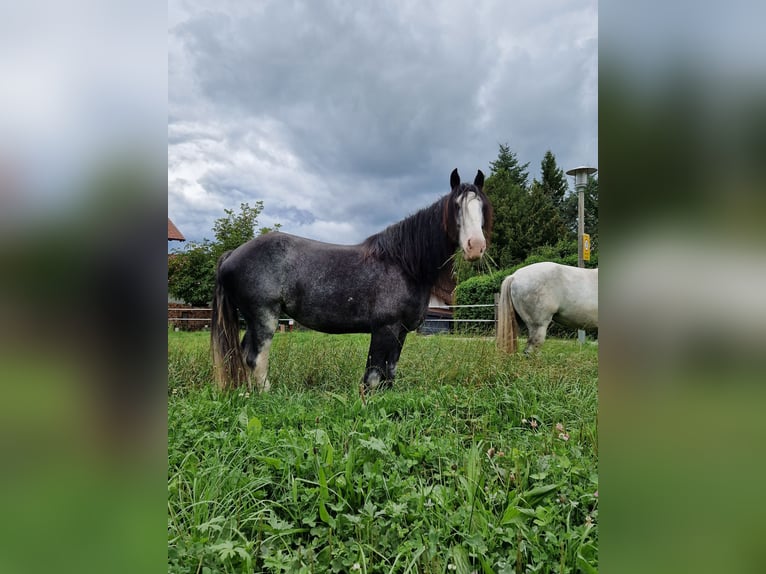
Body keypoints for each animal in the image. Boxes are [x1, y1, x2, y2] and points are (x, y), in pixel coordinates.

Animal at [210, 170, 496, 392]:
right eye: (456, 207)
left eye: (482, 207)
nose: (476, 246)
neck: (404, 264)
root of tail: (232, 254)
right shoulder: (384, 328)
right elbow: (373, 376)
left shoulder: (400, 332)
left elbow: (390, 374)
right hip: (264, 317)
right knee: (254, 358)